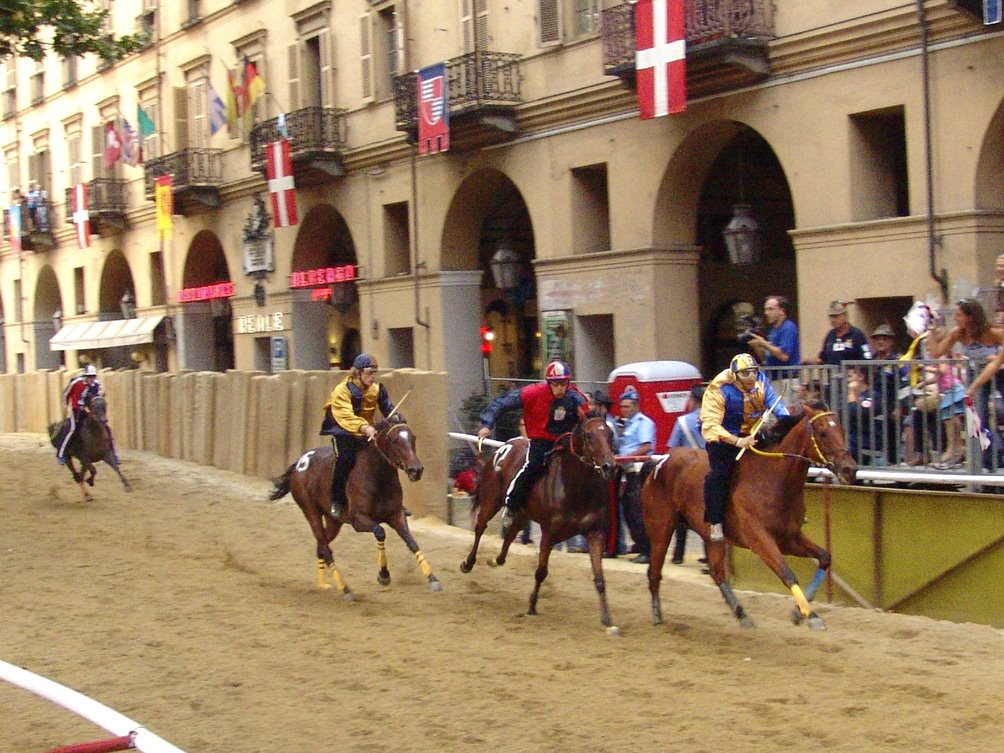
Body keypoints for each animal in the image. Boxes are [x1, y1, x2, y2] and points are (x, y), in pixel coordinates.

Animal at [267, 419, 439, 602]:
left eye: (413, 438)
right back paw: (345, 589)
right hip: (311, 511)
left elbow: (411, 542)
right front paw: (384, 575)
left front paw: (433, 579)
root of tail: (298, 465)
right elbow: (380, 532)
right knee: (326, 549)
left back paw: (323, 584)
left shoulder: (396, 515)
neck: (376, 475)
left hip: (333, 521)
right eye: (394, 441)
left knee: (321, 547)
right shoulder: (358, 520)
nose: (416, 470)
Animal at [459, 415, 618, 634]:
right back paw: (468, 563)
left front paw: (608, 620)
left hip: (522, 513)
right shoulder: (549, 533)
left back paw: (496, 560)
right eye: (589, 435)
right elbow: (541, 572)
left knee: (510, 533)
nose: (610, 467)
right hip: (491, 500)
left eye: (610, 434)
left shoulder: (595, 532)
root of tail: (504, 447)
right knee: (480, 528)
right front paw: (532, 606)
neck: (574, 487)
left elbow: (599, 578)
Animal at [642, 403, 855, 634]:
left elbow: (825, 557)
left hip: (711, 537)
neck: (771, 480)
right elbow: (787, 573)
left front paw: (799, 612)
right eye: (823, 432)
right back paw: (656, 616)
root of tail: (660, 461)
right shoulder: (759, 539)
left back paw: (742, 615)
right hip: (661, 529)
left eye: (842, 430)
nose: (850, 469)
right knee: (654, 572)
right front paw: (811, 615)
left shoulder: (788, 538)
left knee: (717, 573)